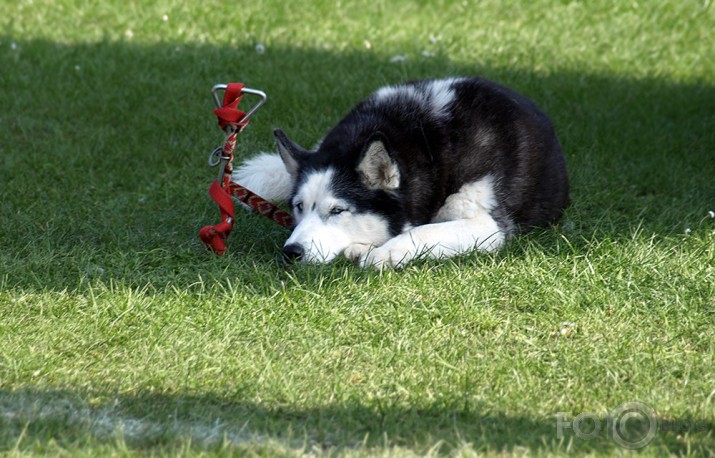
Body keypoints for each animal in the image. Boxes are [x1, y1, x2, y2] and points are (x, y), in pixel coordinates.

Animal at [235, 76, 572, 266]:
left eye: (338, 211)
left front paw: (385, 252)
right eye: (298, 207)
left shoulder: (489, 225)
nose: (292, 251)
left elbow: (424, 231)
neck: (430, 142)